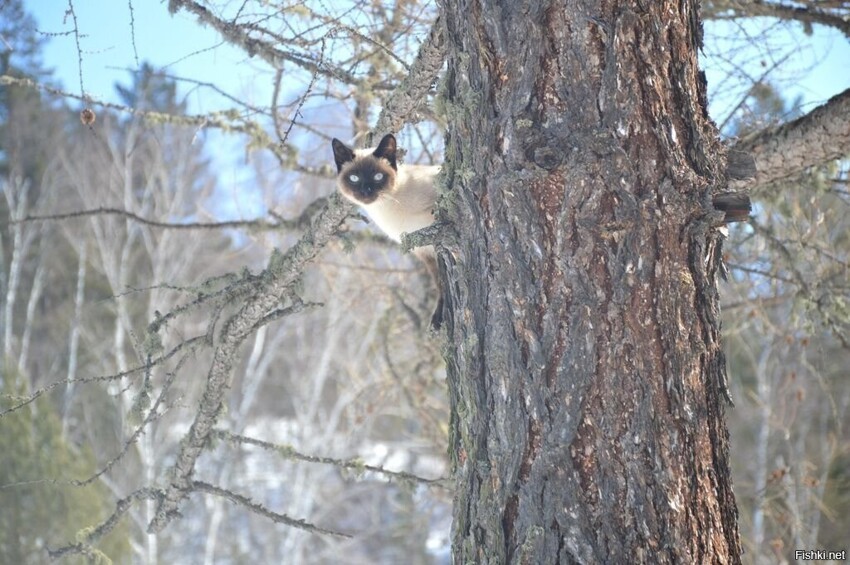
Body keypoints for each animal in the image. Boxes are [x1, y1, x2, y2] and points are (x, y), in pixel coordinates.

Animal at [330, 135, 440, 326]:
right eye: (354, 178)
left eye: (378, 176)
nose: (366, 192)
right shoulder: (424, 249)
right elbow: (441, 284)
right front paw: (440, 316)